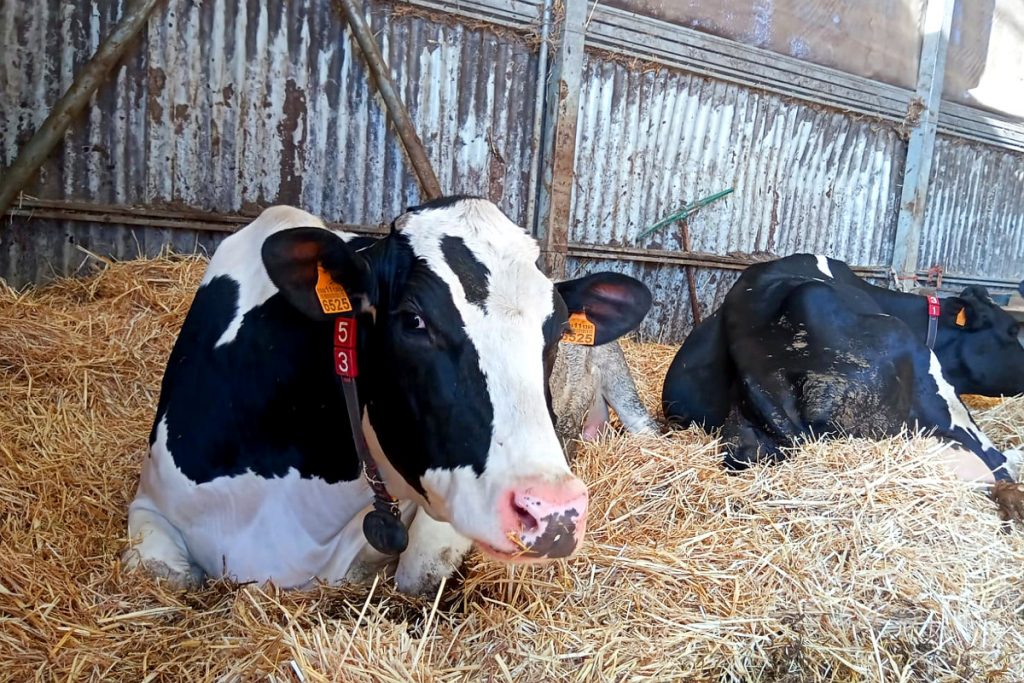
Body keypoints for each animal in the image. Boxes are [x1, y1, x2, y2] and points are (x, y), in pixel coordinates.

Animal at [124, 197, 653, 595]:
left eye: (558, 330)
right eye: (414, 320)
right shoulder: (151, 503)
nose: (554, 512)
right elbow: (164, 575)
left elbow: (417, 574)